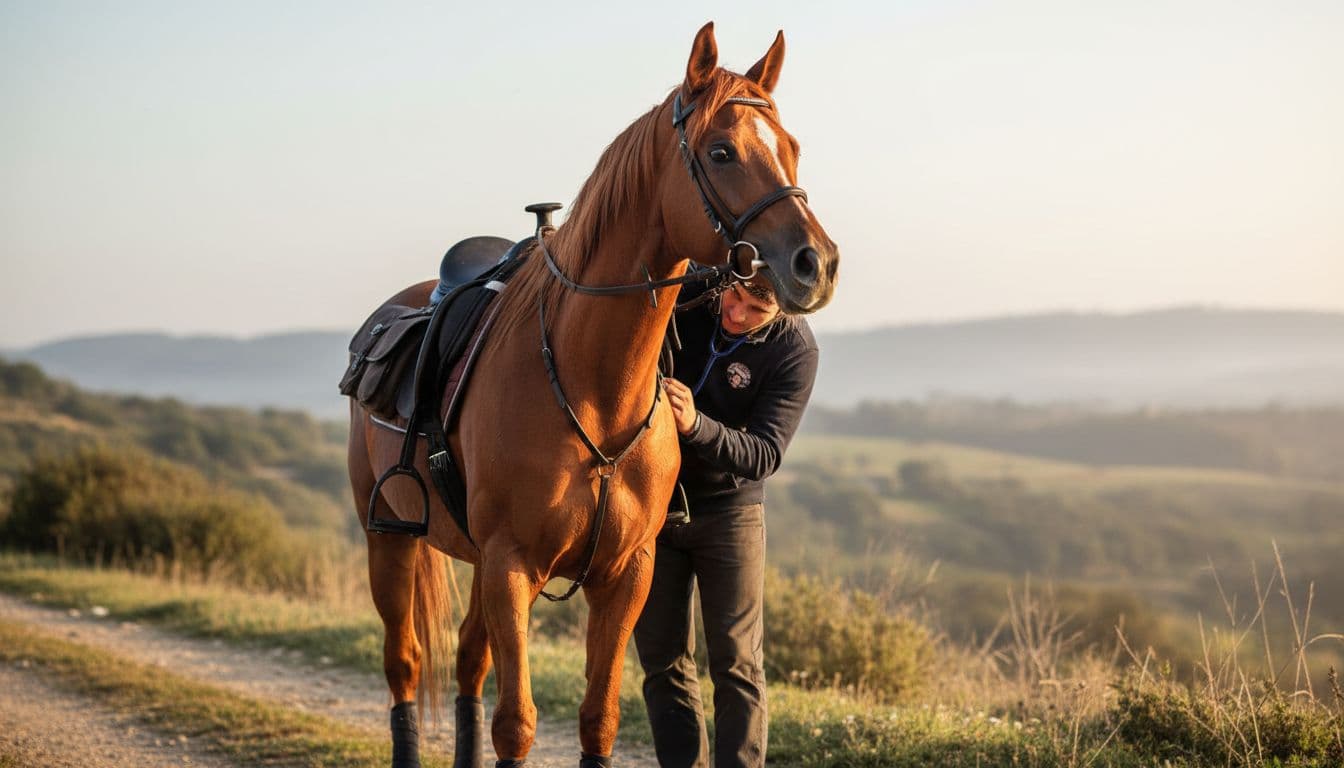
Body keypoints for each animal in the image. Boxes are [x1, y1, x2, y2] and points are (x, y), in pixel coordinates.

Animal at [346, 22, 838, 768]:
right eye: (721, 151)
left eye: (792, 149)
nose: (817, 263)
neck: (592, 390)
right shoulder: (511, 567)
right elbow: (515, 723)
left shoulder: (625, 576)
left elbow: (598, 718)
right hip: (391, 543)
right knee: (404, 664)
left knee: (466, 664)